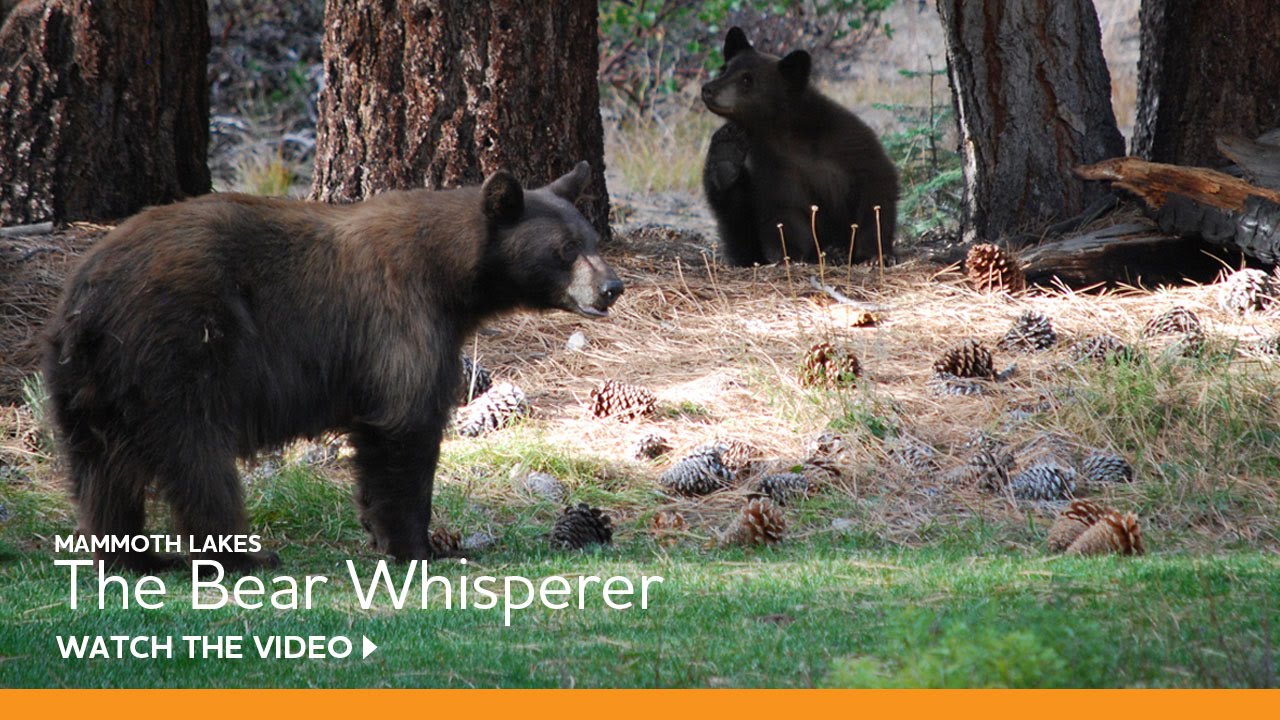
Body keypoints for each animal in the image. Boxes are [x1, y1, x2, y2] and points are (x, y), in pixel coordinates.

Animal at [43, 162, 623, 573]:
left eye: (594, 240)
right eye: (566, 249)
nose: (612, 287)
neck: (450, 274)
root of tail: (89, 299)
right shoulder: (401, 318)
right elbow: (406, 427)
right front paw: (421, 546)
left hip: (88, 385)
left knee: (102, 472)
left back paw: (136, 557)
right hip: (179, 354)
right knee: (197, 459)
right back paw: (246, 555)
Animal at [701, 27, 899, 267]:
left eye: (747, 79)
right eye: (724, 69)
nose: (708, 89)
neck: (785, 133)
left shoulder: (847, 141)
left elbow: (876, 183)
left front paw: (875, 254)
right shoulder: (772, 169)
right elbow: (785, 214)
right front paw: (797, 255)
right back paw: (725, 156)